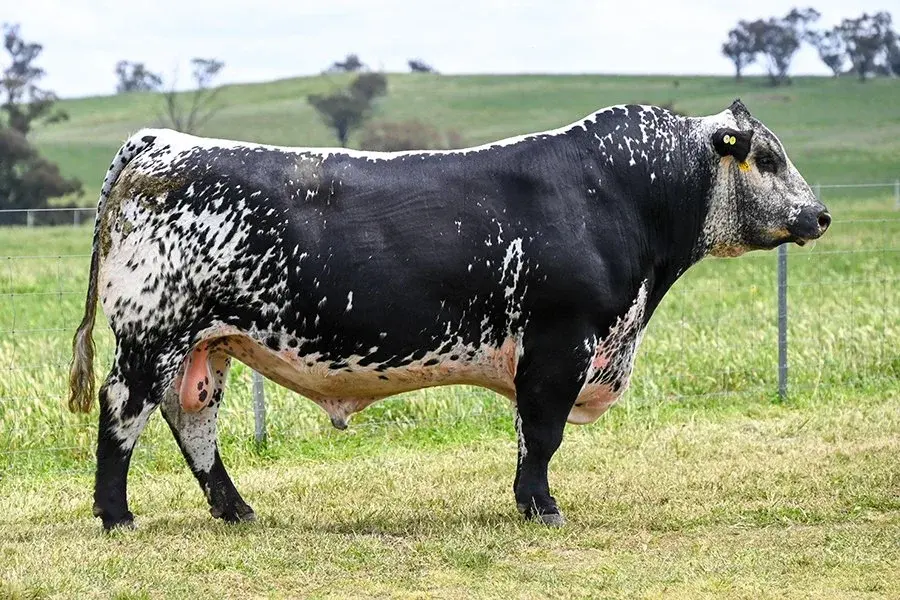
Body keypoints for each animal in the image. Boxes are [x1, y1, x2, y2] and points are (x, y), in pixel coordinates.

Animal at [68, 99, 830, 530]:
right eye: (766, 157)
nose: (820, 215)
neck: (621, 190)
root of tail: (161, 142)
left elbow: (530, 437)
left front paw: (529, 504)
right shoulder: (561, 343)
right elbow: (542, 435)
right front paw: (542, 510)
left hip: (208, 344)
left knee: (191, 420)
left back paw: (236, 511)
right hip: (152, 334)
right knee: (124, 411)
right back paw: (117, 516)